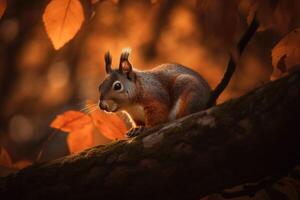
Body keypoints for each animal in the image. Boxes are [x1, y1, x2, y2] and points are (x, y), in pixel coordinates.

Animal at [99, 17, 258, 137]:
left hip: (189, 94)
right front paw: (136, 129)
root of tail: (211, 97)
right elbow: (138, 123)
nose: (102, 105)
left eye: (117, 86)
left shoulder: (155, 99)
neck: (131, 105)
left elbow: (157, 116)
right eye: (99, 86)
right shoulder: (135, 115)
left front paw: (146, 128)